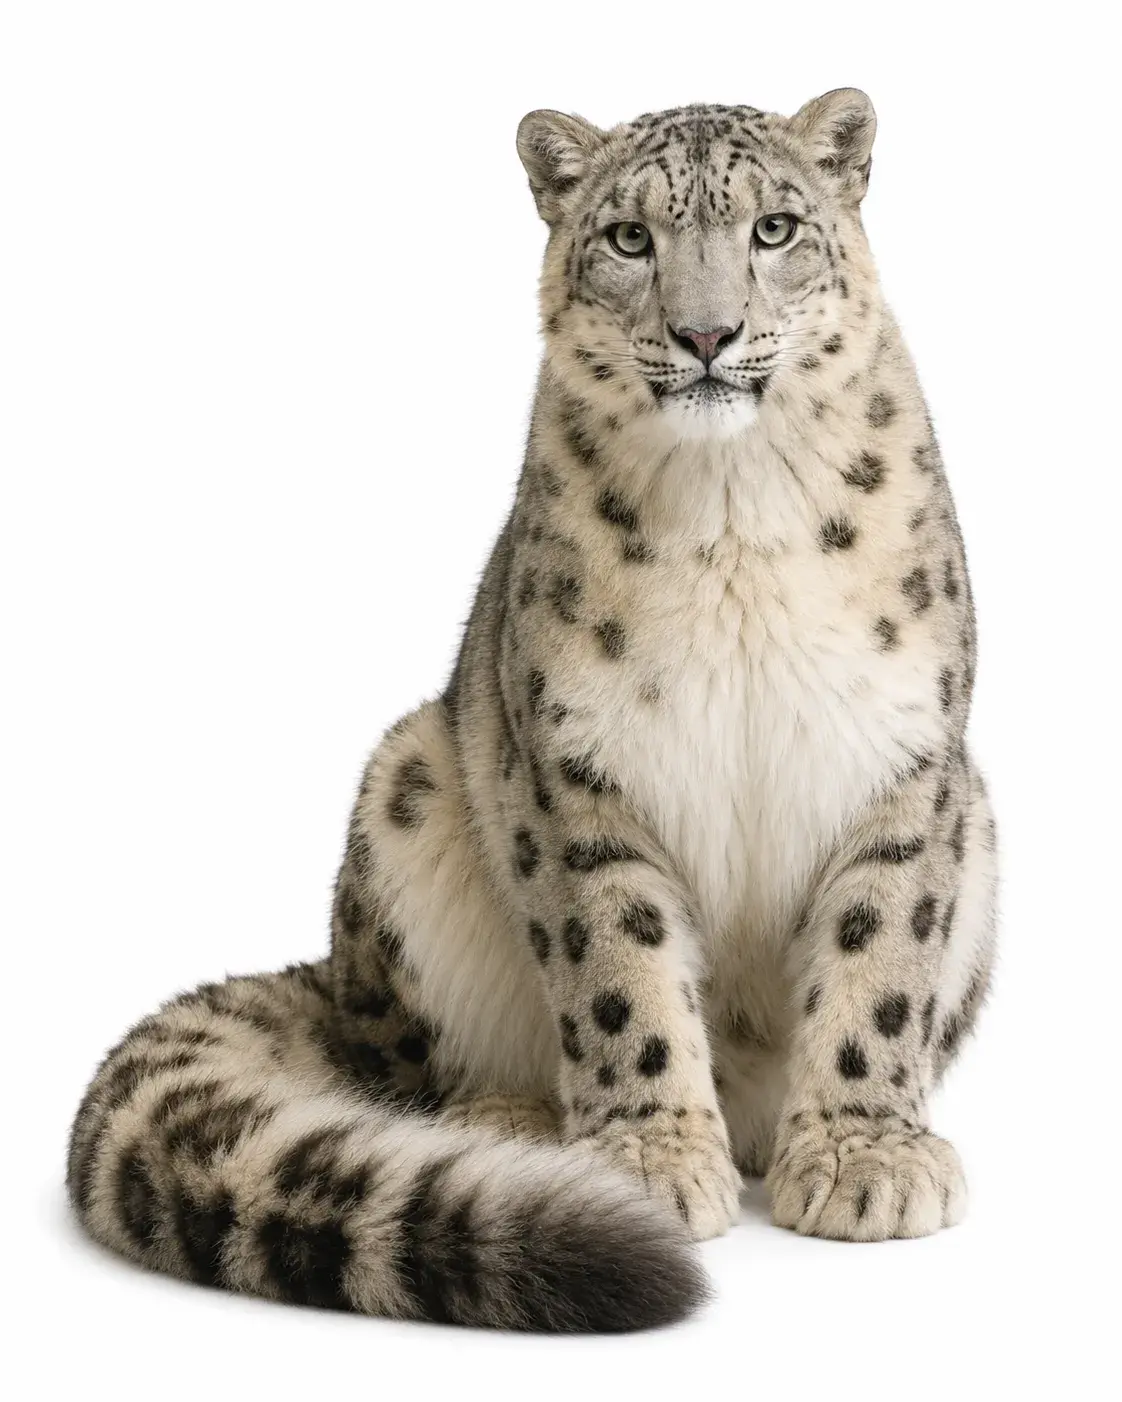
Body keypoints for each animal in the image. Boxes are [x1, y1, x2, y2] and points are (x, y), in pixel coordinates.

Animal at [68, 89, 997, 1333]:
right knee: (400, 1066)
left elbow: (880, 963)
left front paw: (865, 1157)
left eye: (776, 228)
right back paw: (509, 1125)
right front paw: (649, 1158)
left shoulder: (905, 761)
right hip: (406, 786)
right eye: (629, 238)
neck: (736, 516)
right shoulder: (577, 770)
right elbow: (619, 971)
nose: (707, 335)